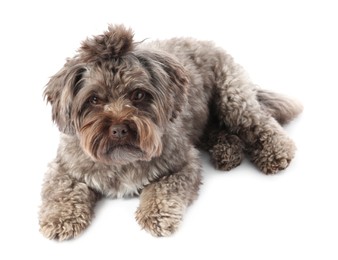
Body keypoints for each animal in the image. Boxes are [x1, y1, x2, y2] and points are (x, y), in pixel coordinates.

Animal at [38, 24, 302, 240]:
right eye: (94, 99)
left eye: (138, 94)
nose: (119, 128)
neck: (122, 161)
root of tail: (208, 43)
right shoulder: (64, 167)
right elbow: (63, 191)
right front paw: (59, 218)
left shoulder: (183, 164)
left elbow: (163, 188)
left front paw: (156, 215)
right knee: (217, 130)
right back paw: (227, 152)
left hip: (232, 99)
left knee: (261, 121)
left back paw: (275, 152)